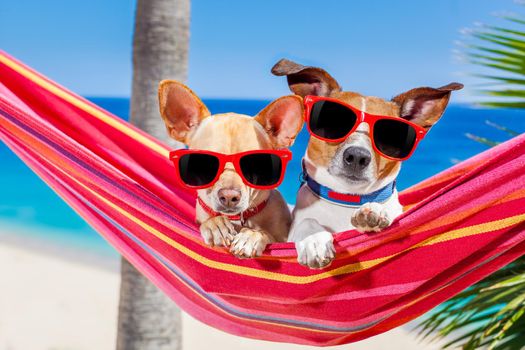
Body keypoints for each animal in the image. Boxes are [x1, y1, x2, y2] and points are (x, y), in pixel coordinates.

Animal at [158, 80, 302, 258]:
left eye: (256, 164)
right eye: (203, 163)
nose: (228, 196)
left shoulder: (282, 237)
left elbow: (266, 234)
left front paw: (251, 236)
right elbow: (208, 221)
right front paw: (215, 225)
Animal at [272, 58, 460, 270]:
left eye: (390, 134)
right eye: (333, 121)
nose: (357, 156)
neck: (346, 199)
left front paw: (374, 211)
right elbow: (308, 222)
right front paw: (314, 239)